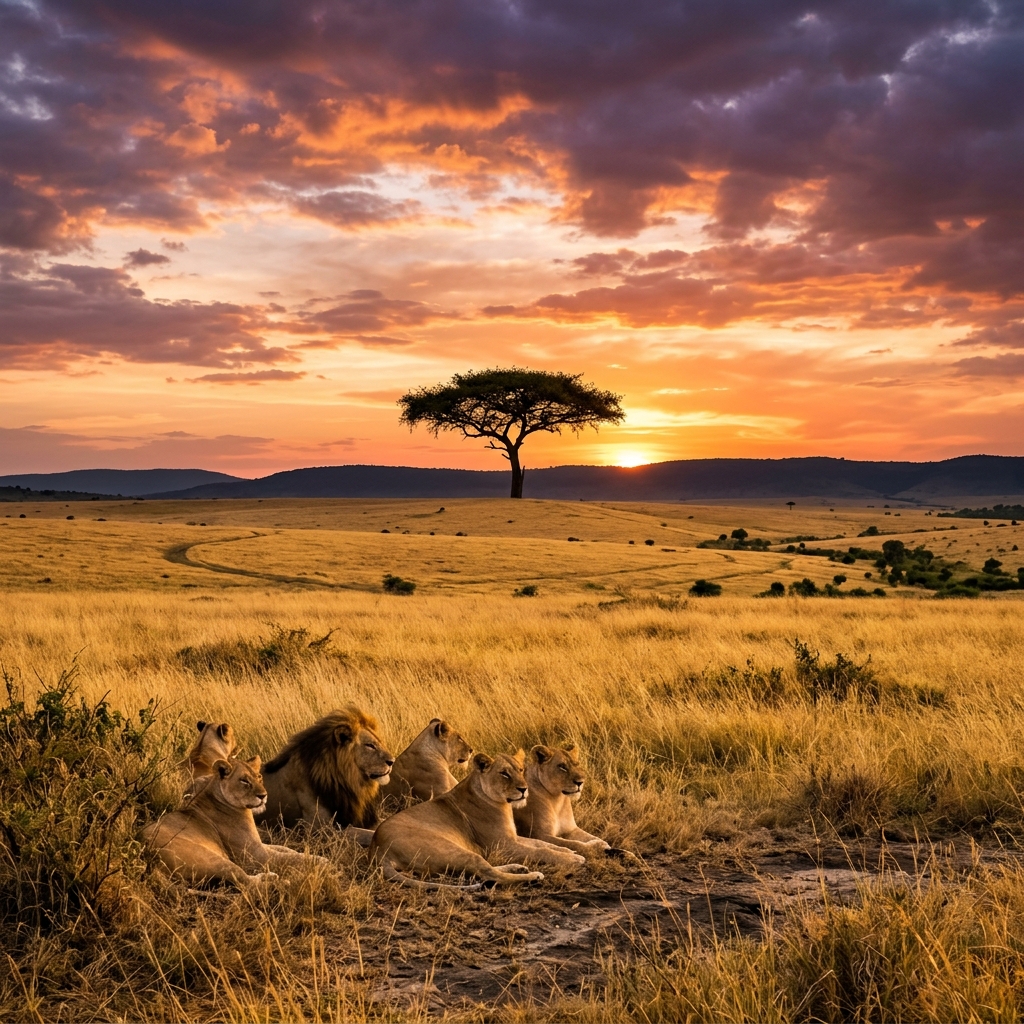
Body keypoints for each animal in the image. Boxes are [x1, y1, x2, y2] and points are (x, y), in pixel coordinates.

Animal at [144, 755, 325, 886]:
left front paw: (311, 855)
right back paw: (277, 881)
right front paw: (321, 861)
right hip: (215, 859)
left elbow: (287, 850)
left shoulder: (258, 845)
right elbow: (290, 858)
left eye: (259, 777)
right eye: (244, 780)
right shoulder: (256, 855)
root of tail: (148, 857)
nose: (263, 795)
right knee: (247, 884)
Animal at [370, 750, 586, 888]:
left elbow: (540, 844)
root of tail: (378, 848)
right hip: (451, 849)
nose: (524, 789)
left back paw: (519, 867)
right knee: (490, 874)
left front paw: (566, 850)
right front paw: (573, 857)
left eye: (520, 770)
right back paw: (532, 876)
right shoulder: (503, 845)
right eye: (504, 773)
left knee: (487, 868)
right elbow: (540, 851)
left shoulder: (512, 838)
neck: (503, 804)